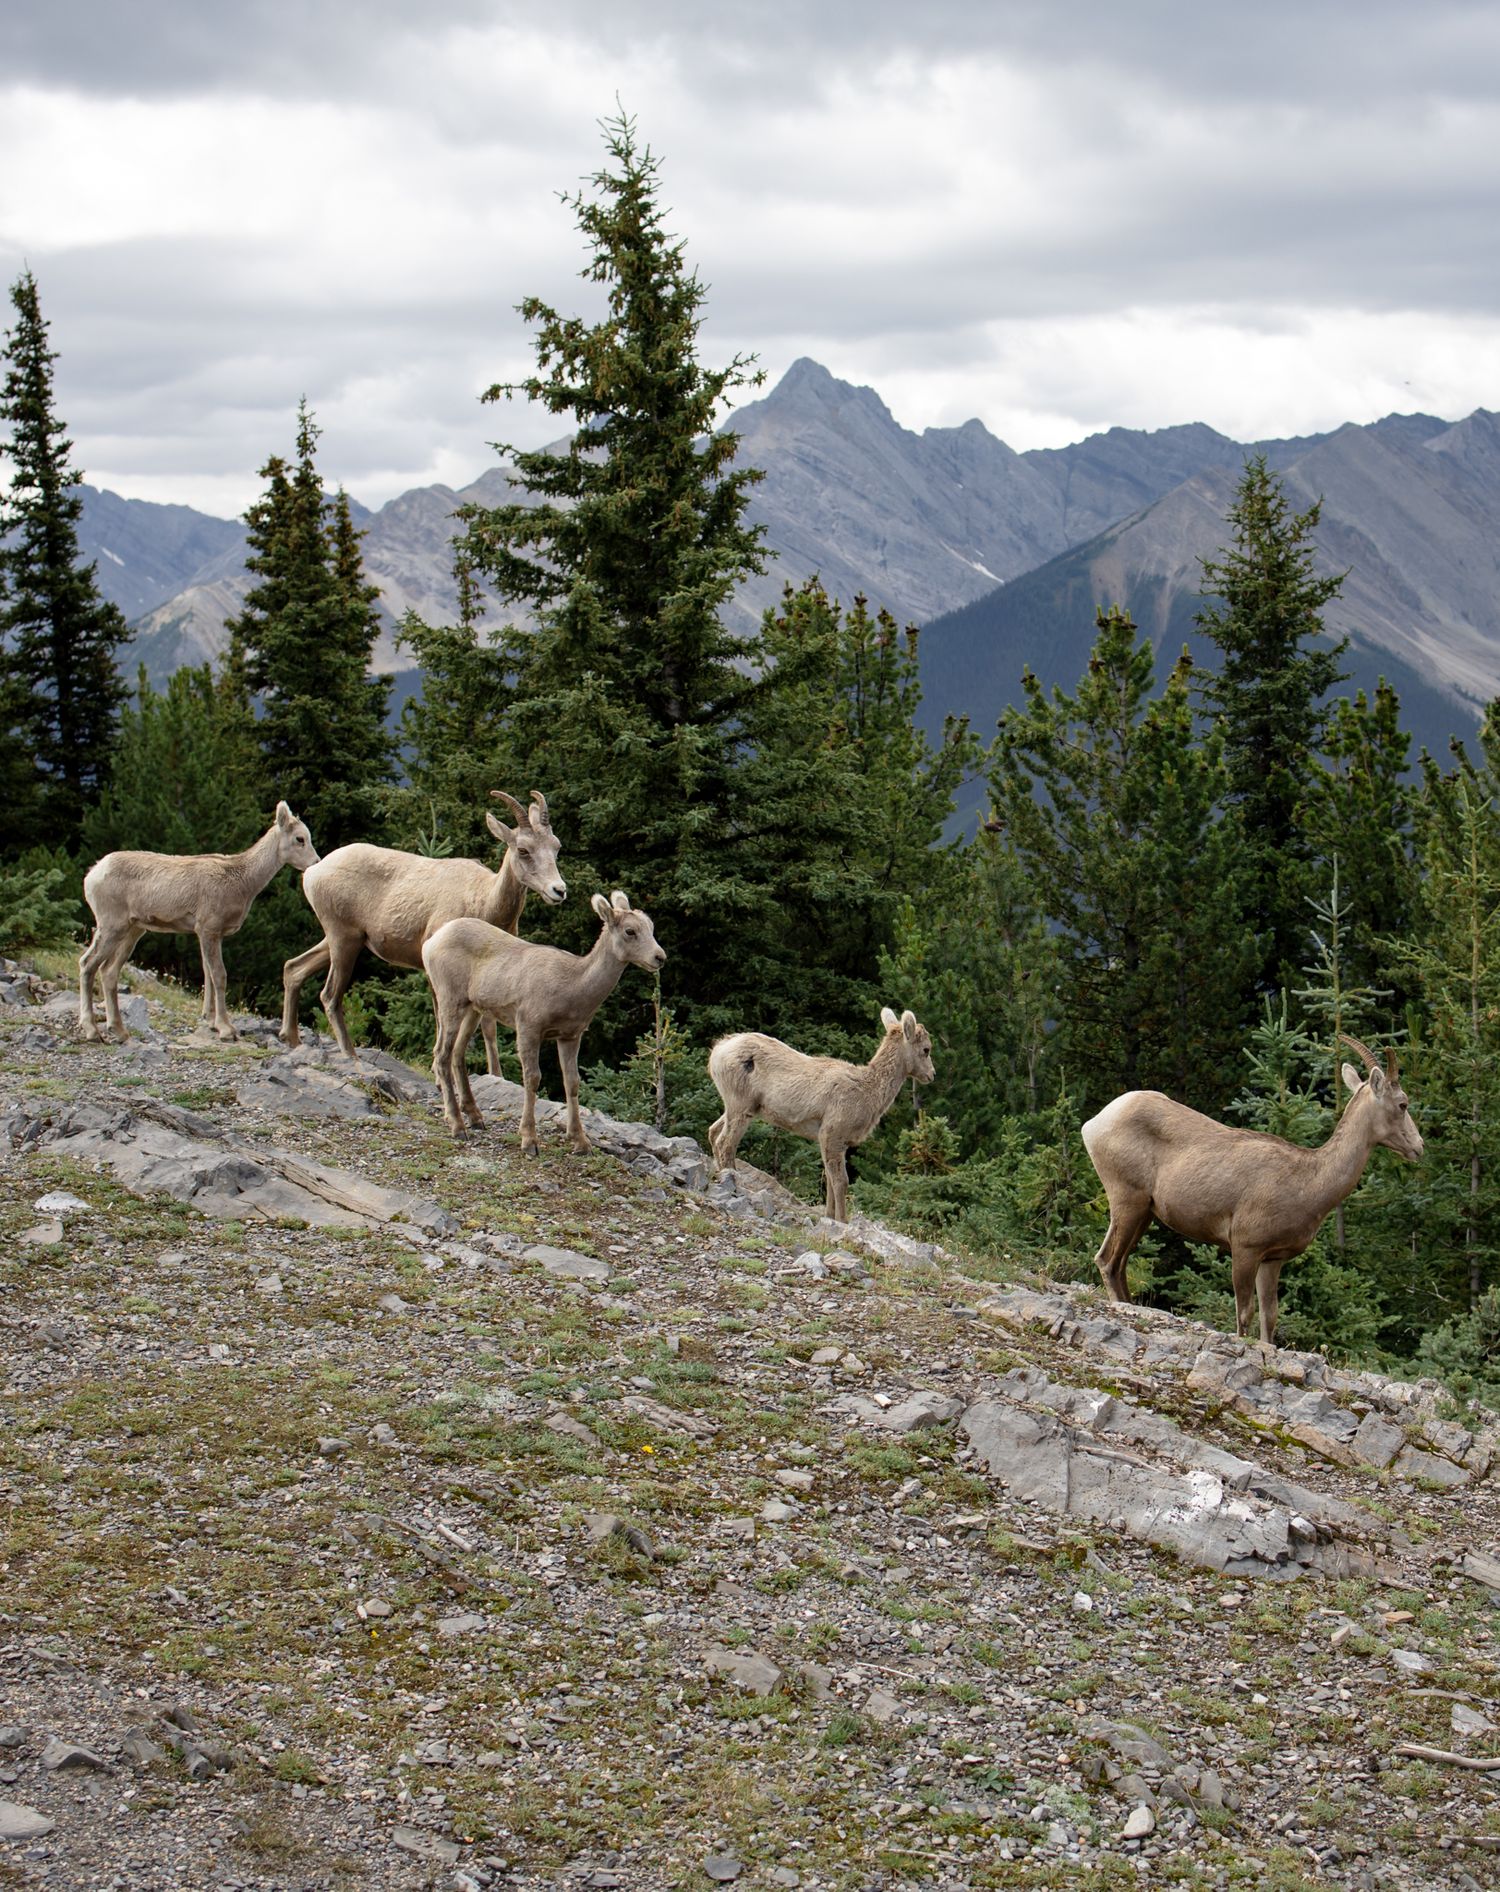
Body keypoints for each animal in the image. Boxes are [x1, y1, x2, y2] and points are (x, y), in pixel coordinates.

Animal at [78, 801, 319, 1043]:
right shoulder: (208, 928)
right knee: (87, 964)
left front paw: (211, 1022)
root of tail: (92, 875)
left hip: (133, 930)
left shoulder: (211, 934)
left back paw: (119, 1030)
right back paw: (92, 1031)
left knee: (108, 971)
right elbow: (219, 975)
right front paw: (226, 1029)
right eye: (300, 838)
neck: (242, 883)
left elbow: (208, 974)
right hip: (112, 925)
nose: (315, 864)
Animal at [279, 788, 565, 1069]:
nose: (559, 890)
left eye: (556, 847)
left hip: (342, 940)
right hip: (343, 939)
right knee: (329, 995)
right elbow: (443, 1022)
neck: (483, 901)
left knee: (294, 968)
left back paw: (291, 1038)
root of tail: (314, 871)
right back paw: (350, 1055)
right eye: (523, 850)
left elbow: (488, 1028)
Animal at [422, 890, 666, 1151]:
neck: (571, 990)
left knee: (457, 1053)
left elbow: (572, 1082)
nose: (660, 957)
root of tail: (429, 945)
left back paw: (475, 1118)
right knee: (441, 1054)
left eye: (651, 926)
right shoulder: (528, 1025)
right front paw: (529, 1140)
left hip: (473, 1007)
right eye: (630, 931)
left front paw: (580, 1141)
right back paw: (457, 1126)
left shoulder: (570, 1034)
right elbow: (532, 1078)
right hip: (449, 997)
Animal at [707, 1008, 935, 1224]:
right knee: (725, 1142)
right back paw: (736, 1185)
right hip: (740, 1103)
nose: (932, 1075)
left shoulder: (831, 1139)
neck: (867, 1093)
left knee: (713, 1131)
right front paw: (843, 1220)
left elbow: (829, 1180)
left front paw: (830, 1216)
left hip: (737, 1105)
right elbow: (841, 1181)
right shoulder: (833, 1131)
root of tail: (716, 1053)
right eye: (926, 1049)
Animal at [1081, 1035, 1424, 1346]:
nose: (1419, 1147)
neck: (1309, 1185)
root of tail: (1092, 1124)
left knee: (1120, 1263)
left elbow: (1270, 1317)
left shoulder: (1273, 1256)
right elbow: (1244, 1313)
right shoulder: (1244, 1243)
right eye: (1403, 1103)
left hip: (1146, 1211)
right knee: (1107, 1259)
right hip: (1126, 1196)